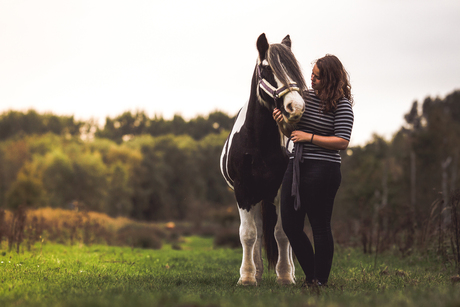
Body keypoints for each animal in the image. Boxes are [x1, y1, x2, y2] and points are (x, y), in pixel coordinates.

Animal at [219, 33, 306, 286]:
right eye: (267, 68)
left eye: (293, 68)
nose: (296, 107)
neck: (258, 142)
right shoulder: (243, 190)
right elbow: (248, 234)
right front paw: (247, 277)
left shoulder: (281, 190)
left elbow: (282, 234)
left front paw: (285, 276)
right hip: (256, 197)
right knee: (256, 231)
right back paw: (256, 270)